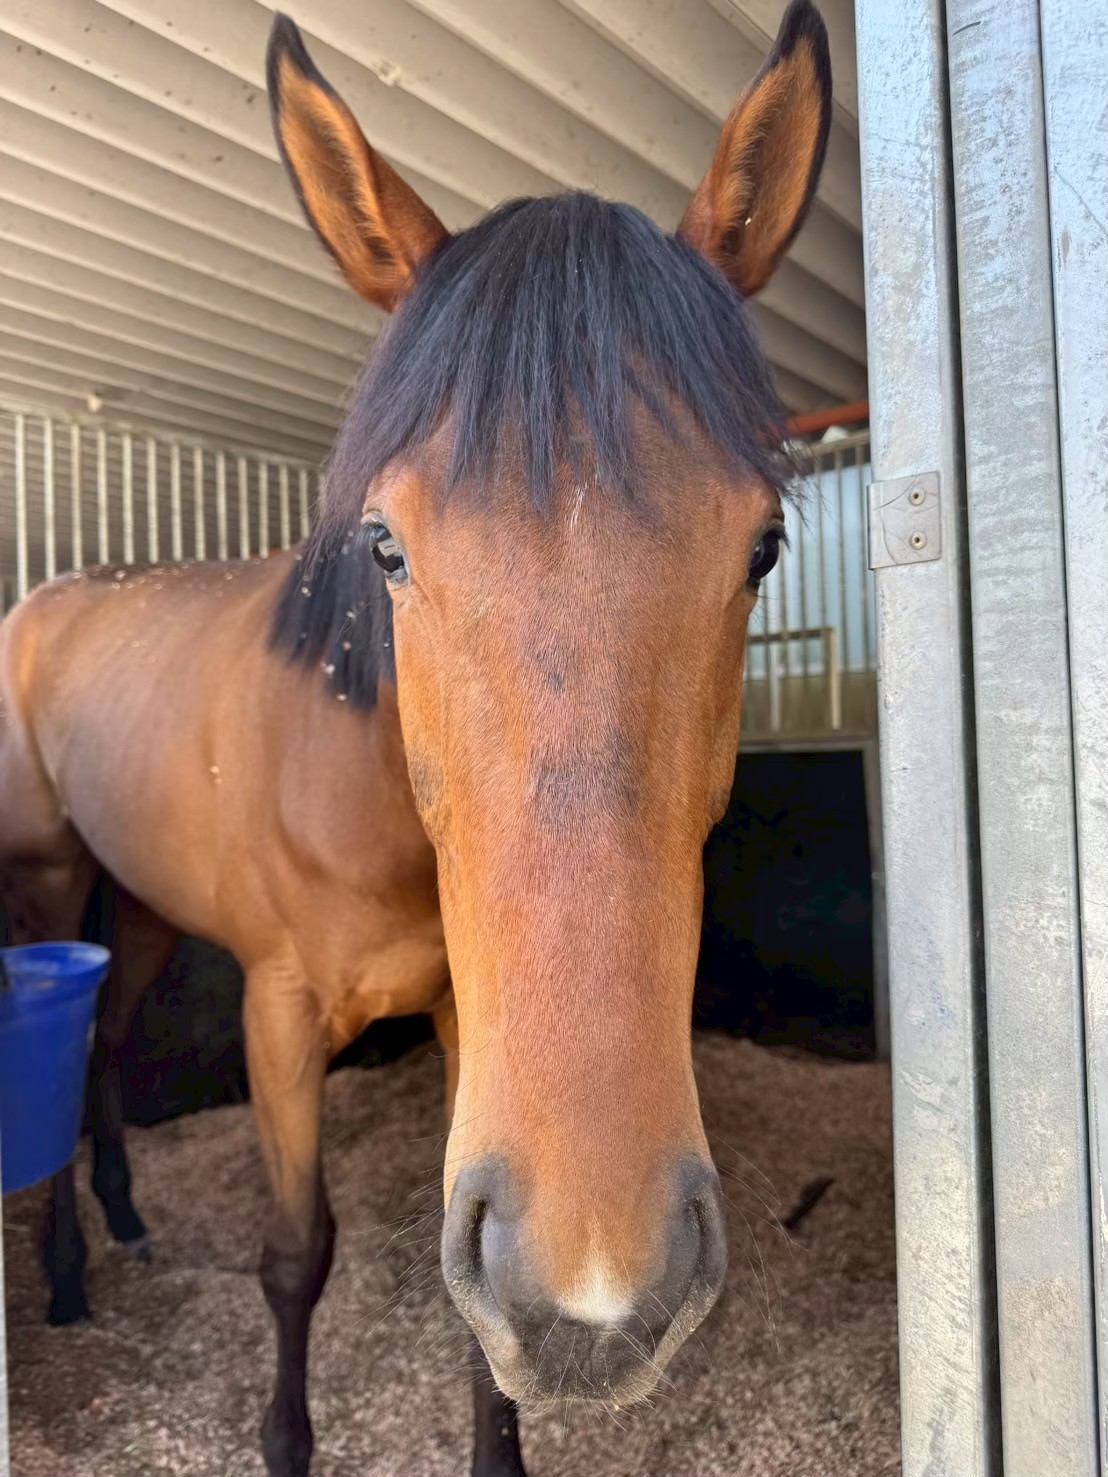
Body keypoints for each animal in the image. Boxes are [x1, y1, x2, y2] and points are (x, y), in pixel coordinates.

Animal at [0, 4, 831, 1473]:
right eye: (386, 545)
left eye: (764, 548)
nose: (600, 1289)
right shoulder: (279, 1016)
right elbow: (296, 1254)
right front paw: (283, 1440)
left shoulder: (456, 1023)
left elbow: (471, 1316)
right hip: (51, 881)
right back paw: (65, 1274)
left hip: (143, 903)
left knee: (103, 1046)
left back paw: (129, 1220)